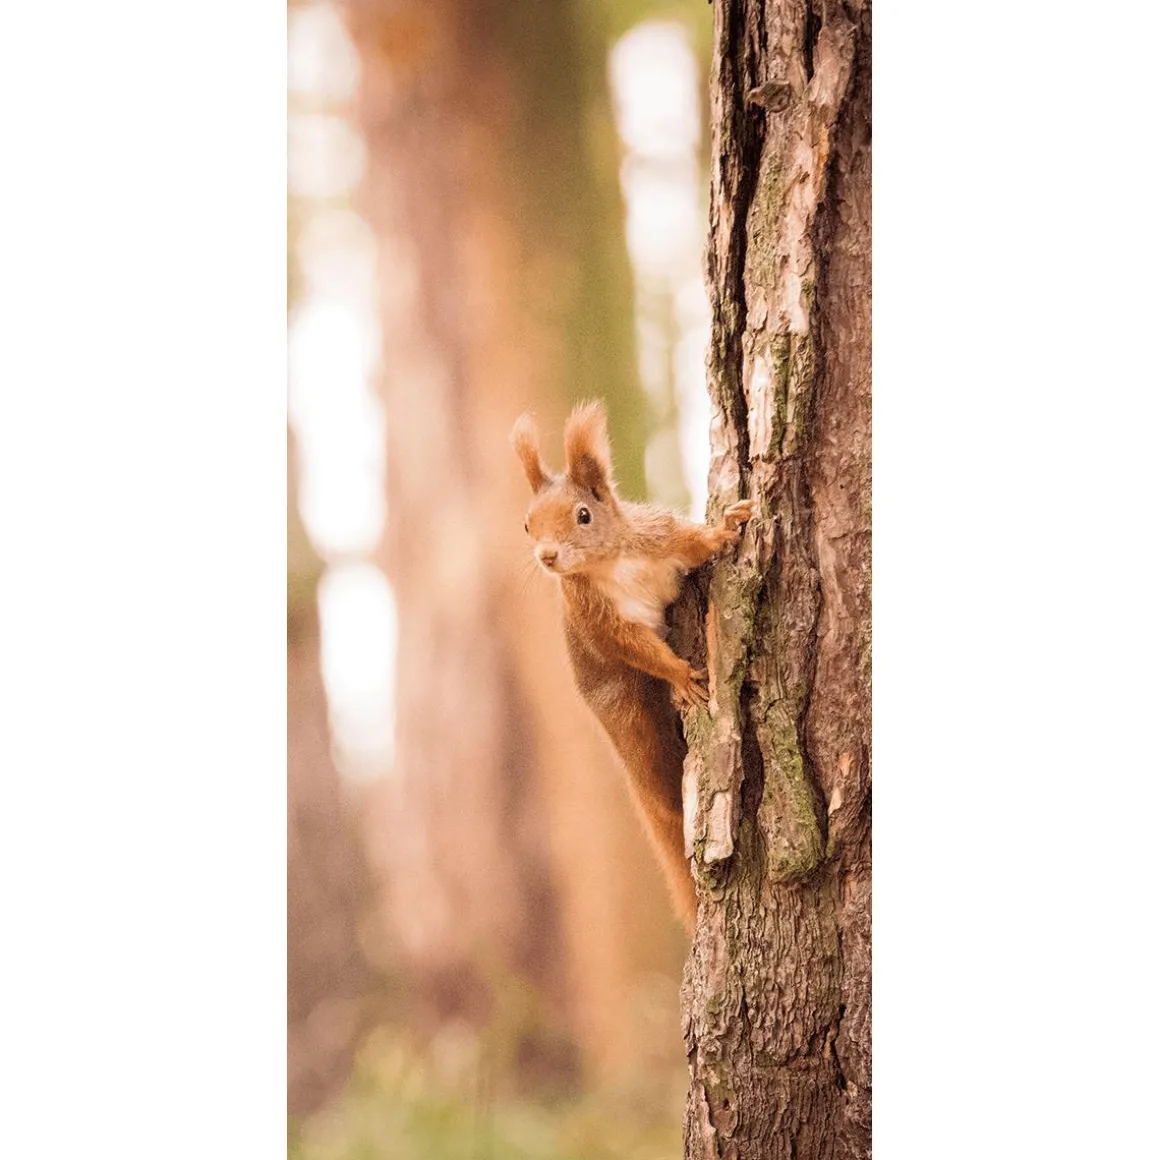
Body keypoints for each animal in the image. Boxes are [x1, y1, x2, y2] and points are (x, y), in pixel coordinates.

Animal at [510, 399, 754, 932]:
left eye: (583, 515)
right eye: (527, 524)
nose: (547, 556)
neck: (610, 563)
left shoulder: (661, 538)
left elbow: (698, 543)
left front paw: (729, 526)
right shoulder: (599, 621)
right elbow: (639, 649)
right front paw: (682, 676)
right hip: (634, 720)